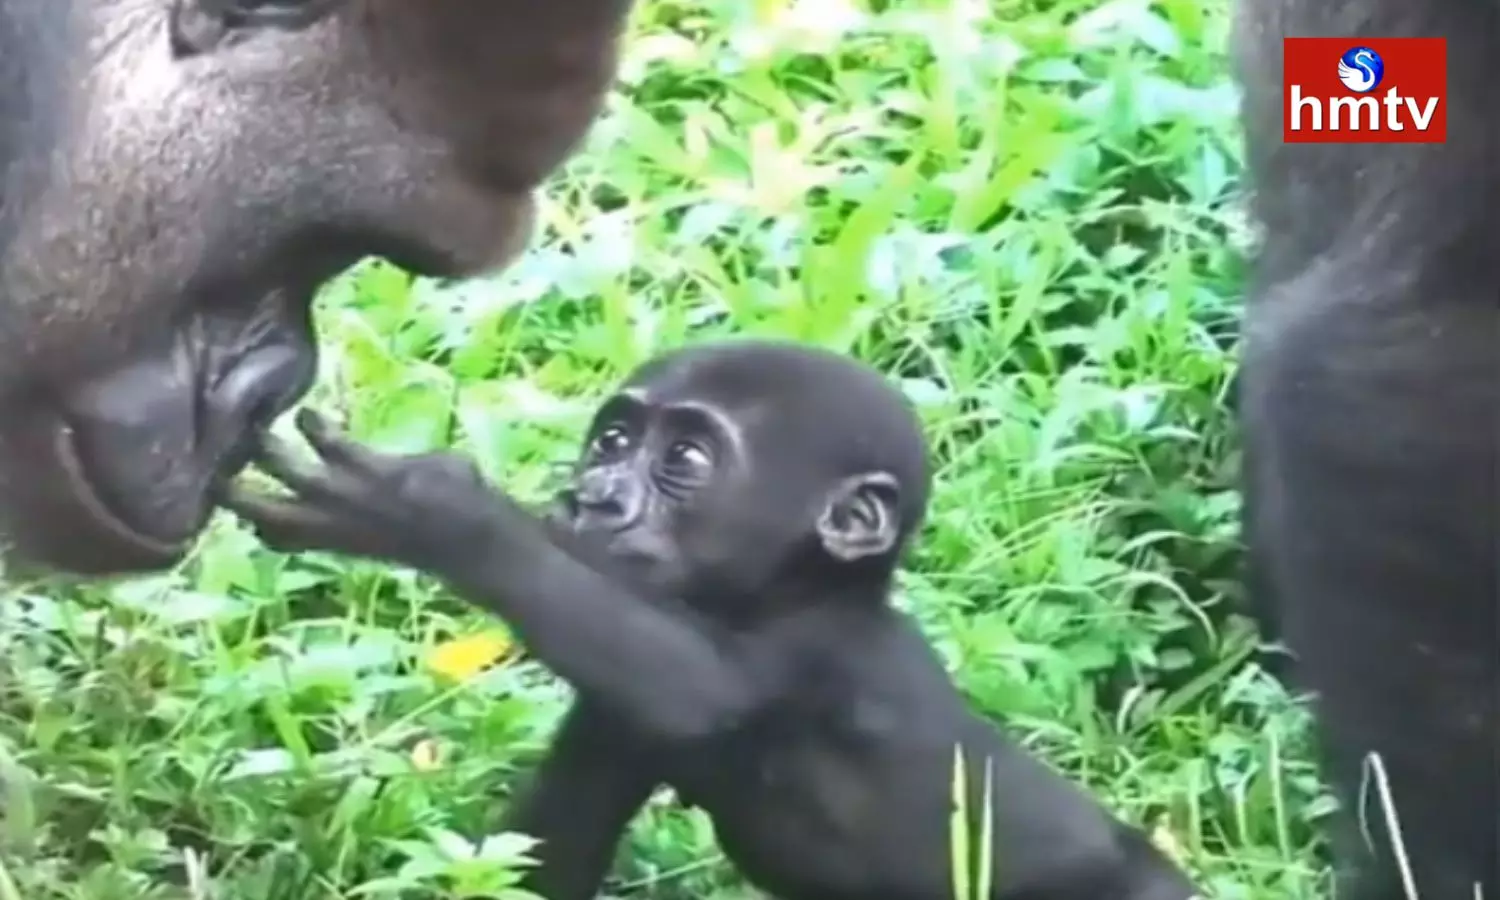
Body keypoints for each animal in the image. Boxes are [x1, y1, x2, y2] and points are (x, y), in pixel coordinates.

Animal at [228, 340, 1200, 900]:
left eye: (686, 460)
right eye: (613, 441)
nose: (595, 497)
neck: (796, 592)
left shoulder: (821, 657)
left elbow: (701, 692)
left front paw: (421, 509)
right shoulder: (612, 720)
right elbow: (544, 857)